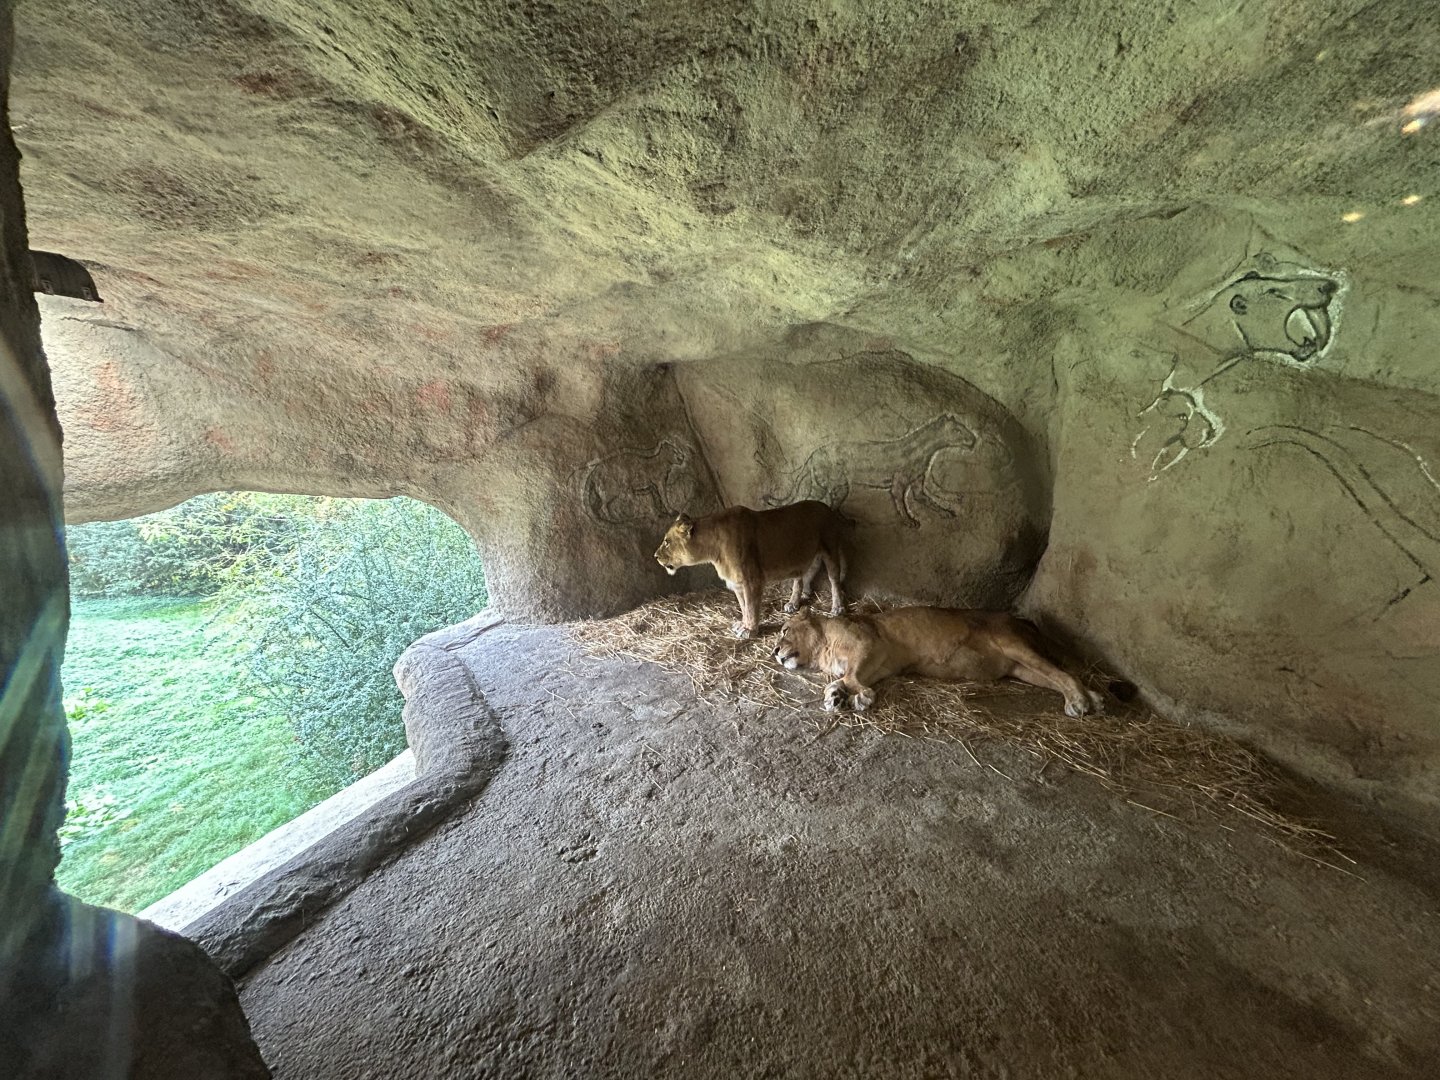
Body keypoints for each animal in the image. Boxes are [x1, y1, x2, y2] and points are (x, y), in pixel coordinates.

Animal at [653, 500, 848, 639]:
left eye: (667, 542)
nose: (655, 556)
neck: (713, 549)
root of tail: (827, 507)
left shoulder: (752, 580)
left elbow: (751, 606)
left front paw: (750, 631)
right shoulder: (737, 583)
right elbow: (744, 606)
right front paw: (743, 625)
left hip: (830, 550)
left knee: (833, 580)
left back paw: (837, 607)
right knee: (803, 575)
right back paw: (795, 601)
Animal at [771, 607, 1105, 718]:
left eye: (785, 631)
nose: (774, 651)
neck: (822, 649)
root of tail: (1023, 621)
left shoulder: (868, 644)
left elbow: (853, 678)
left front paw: (859, 698)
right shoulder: (877, 665)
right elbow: (845, 679)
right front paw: (836, 696)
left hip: (1014, 644)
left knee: (1064, 674)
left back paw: (1080, 702)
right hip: (1021, 668)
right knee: (1057, 676)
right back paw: (1094, 698)